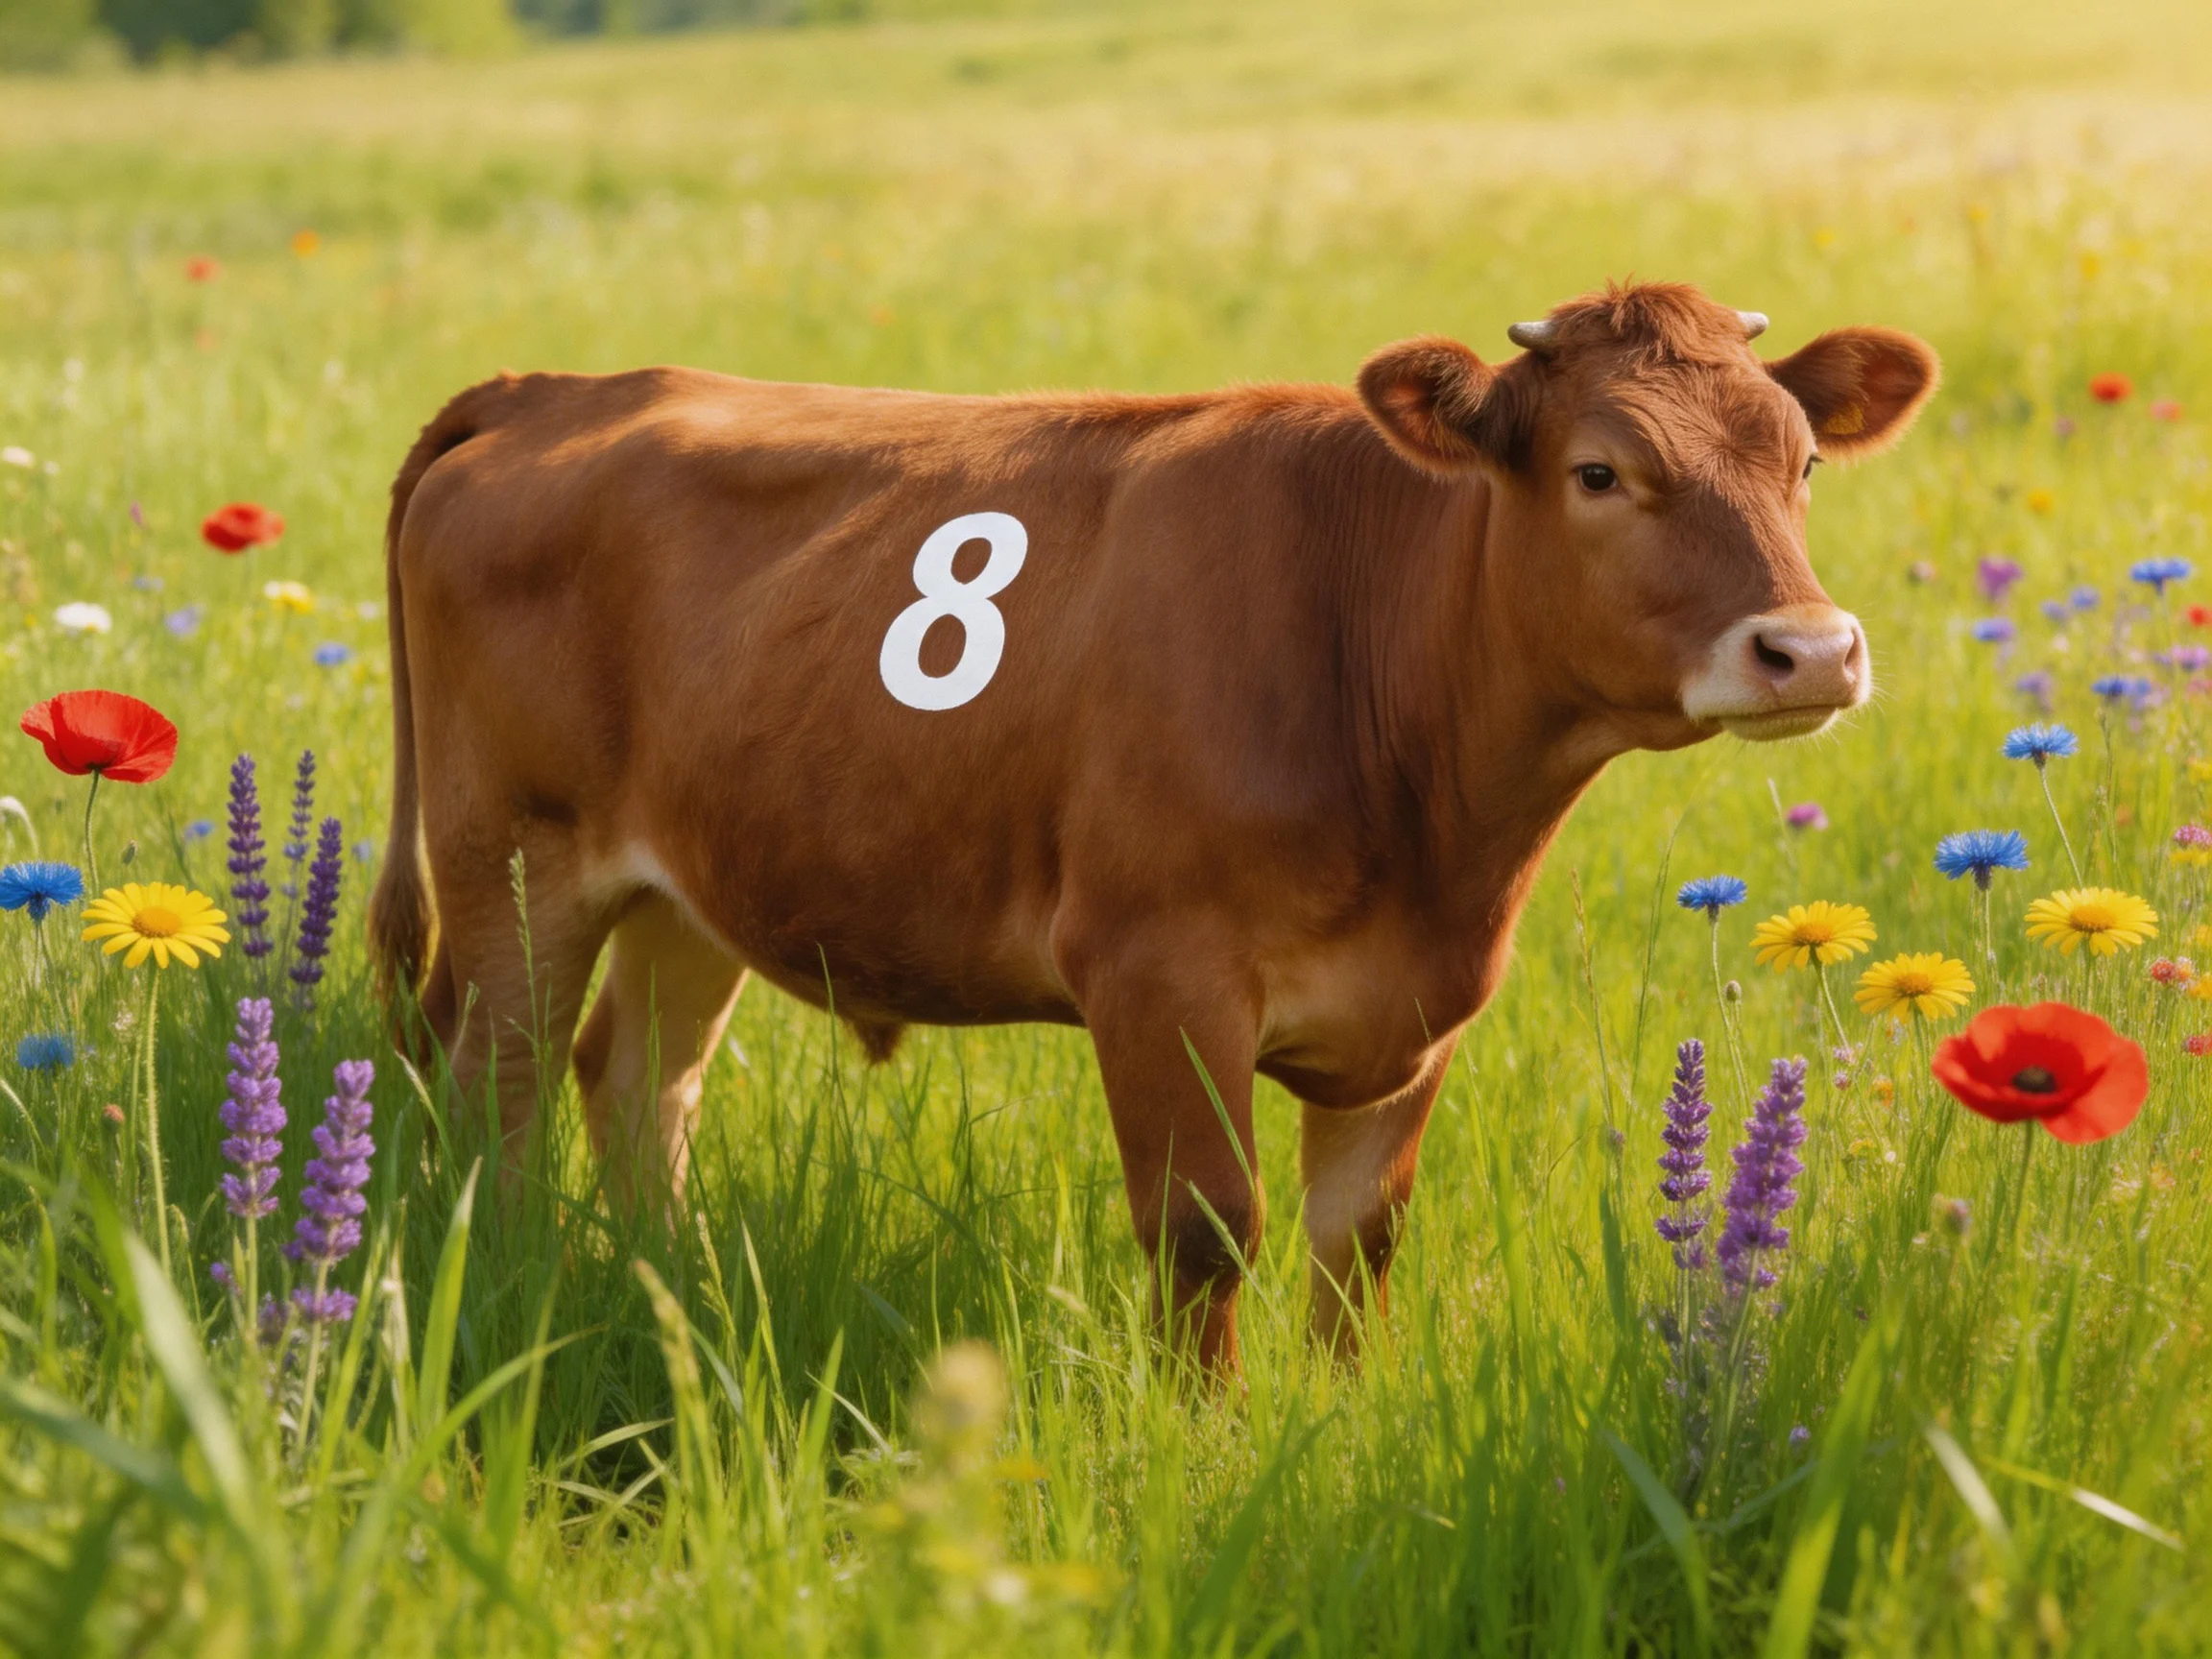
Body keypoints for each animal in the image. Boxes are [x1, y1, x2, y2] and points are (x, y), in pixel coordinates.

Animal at [368, 281, 1937, 1372]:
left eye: (1802, 463)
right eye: (1600, 471)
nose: (1809, 650)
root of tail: (556, 386)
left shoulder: (1415, 1014)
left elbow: (1359, 1243)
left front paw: (1343, 1430)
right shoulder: (1154, 971)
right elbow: (1206, 1232)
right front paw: (1216, 1443)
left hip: (690, 888)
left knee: (637, 1080)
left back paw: (664, 1290)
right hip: (513, 860)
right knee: (496, 1087)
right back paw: (516, 1296)